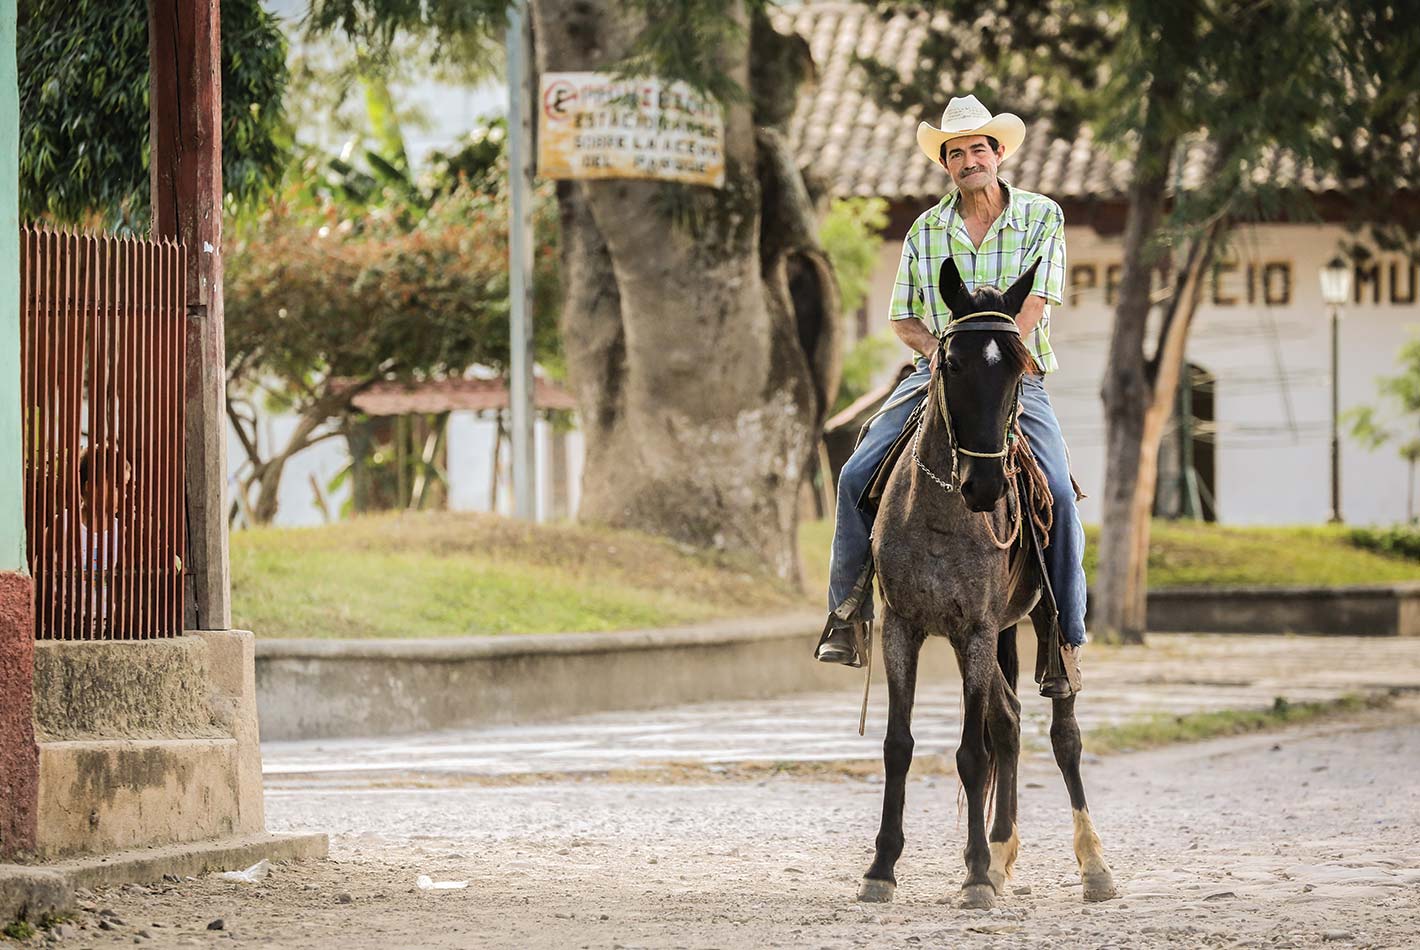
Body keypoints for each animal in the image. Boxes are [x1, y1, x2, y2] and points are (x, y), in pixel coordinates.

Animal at [857, 255, 1113, 908]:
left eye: (1019, 366)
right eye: (951, 363)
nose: (987, 486)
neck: (941, 513)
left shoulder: (973, 628)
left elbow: (972, 754)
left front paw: (972, 875)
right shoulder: (903, 627)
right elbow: (898, 745)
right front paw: (882, 868)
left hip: (1042, 622)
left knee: (1062, 733)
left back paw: (1091, 864)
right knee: (1010, 720)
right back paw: (1001, 854)